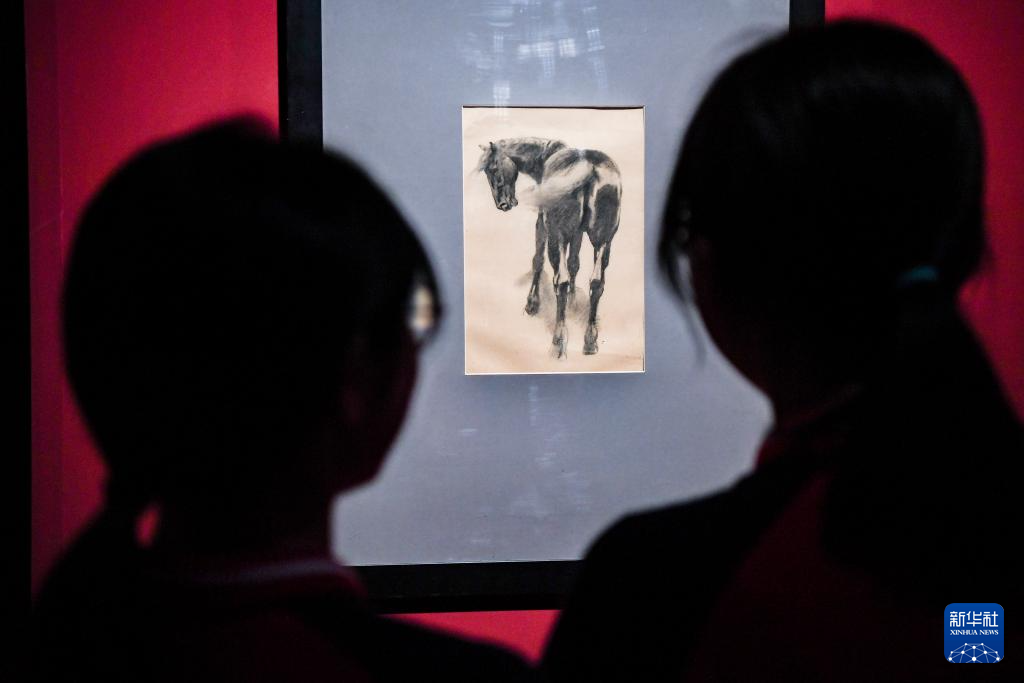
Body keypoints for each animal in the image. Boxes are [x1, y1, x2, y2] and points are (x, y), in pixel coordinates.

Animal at [477, 137, 621, 357]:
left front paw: (532, 303)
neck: (547, 156)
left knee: (560, 281)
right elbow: (574, 264)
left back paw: (558, 341)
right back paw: (590, 341)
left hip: (557, 236)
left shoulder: (542, 224)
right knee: (596, 283)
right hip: (603, 241)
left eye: (493, 168)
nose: (502, 204)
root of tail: (590, 170)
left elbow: (538, 260)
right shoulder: (578, 233)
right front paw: (572, 301)